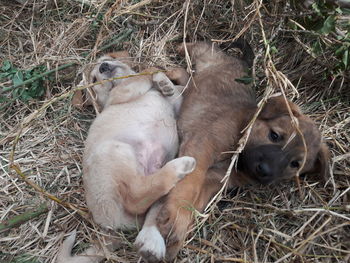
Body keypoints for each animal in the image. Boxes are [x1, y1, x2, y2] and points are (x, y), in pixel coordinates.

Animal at [56, 53, 196, 263]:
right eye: (94, 79)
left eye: (104, 60)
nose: (104, 67)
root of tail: (108, 228)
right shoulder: (121, 93)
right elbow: (142, 74)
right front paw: (156, 75)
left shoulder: (178, 104)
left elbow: (166, 86)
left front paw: (164, 83)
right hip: (114, 151)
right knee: (136, 195)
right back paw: (181, 166)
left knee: (151, 205)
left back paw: (151, 242)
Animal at [138, 41, 330, 262]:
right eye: (274, 135)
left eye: (295, 164)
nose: (264, 171)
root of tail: (241, 63)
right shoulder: (201, 149)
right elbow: (189, 186)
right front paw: (177, 216)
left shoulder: (214, 180)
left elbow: (196, 202)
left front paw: (178, 231)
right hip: (210, 57)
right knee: (201, 49)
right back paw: (173, 54)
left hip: (196, 84)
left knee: (186, 75)